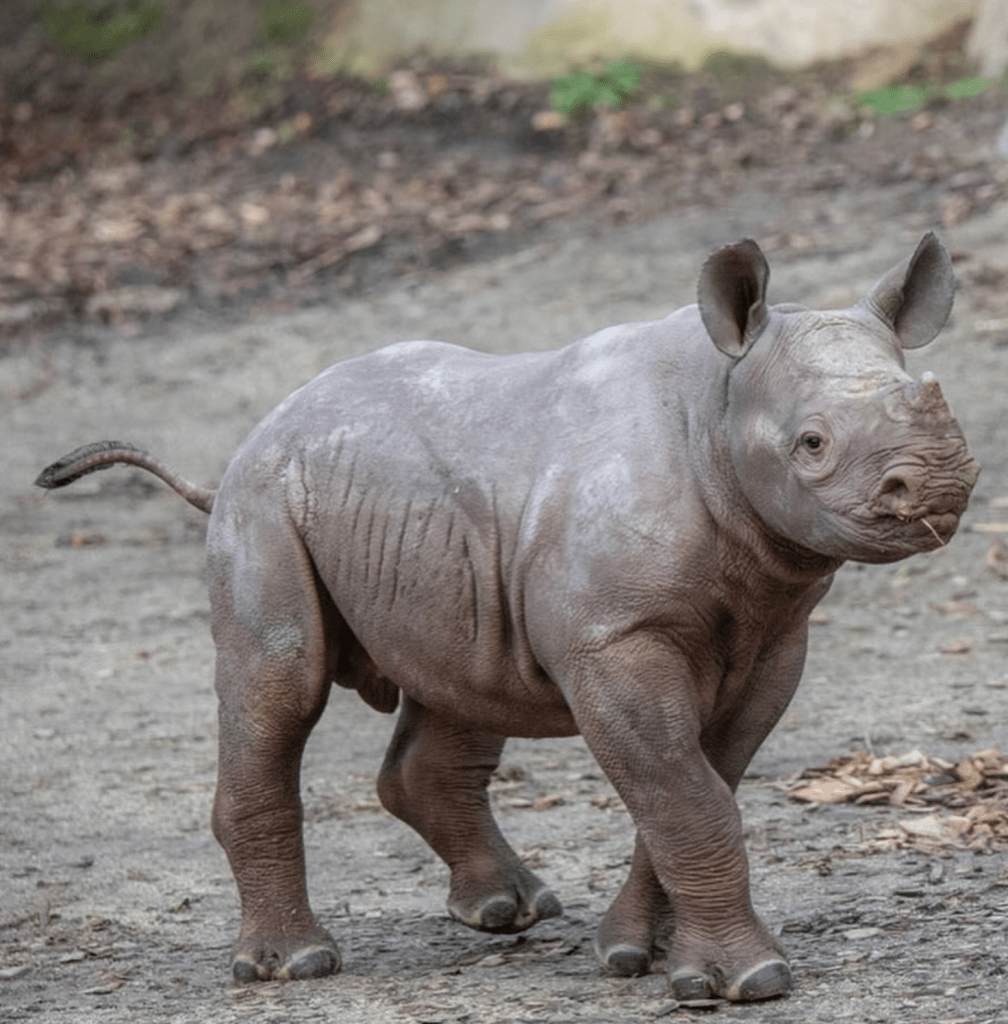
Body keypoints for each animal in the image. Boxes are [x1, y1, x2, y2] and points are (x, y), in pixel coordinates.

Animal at [37, 232, 975, 999]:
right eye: (811, 445)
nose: (938, 485)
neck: (719, 400)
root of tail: (247, 443)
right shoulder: (613, 638)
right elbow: (687, 795)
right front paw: (745, 982)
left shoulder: (774, 637)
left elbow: (695, 786)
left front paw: (638, 956)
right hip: (265, 502)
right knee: (279, 686)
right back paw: (294, 965)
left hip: (422, 521)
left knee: (464, 680)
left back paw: (507, 912)